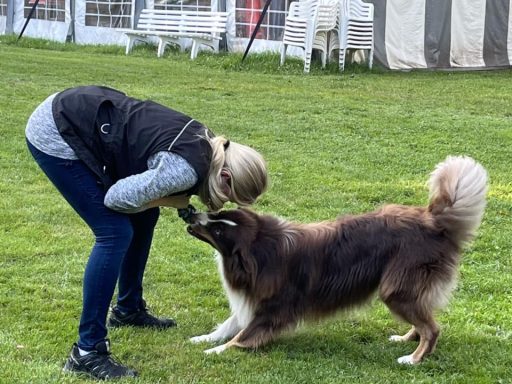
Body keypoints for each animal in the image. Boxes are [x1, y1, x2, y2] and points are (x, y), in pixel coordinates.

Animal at [187, 155, 488, 364]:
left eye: (218, 231)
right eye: (217, 215)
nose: (192, 215)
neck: (262, 246)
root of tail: (433, 221)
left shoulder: (273, 309)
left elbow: (242, 336)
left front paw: (215, 350)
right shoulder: (254, 300)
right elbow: (229, 325)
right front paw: (203, 338)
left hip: (396, 289)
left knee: (432, 329)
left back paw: (413, 359)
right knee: (424, 321)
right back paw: (405, 338)